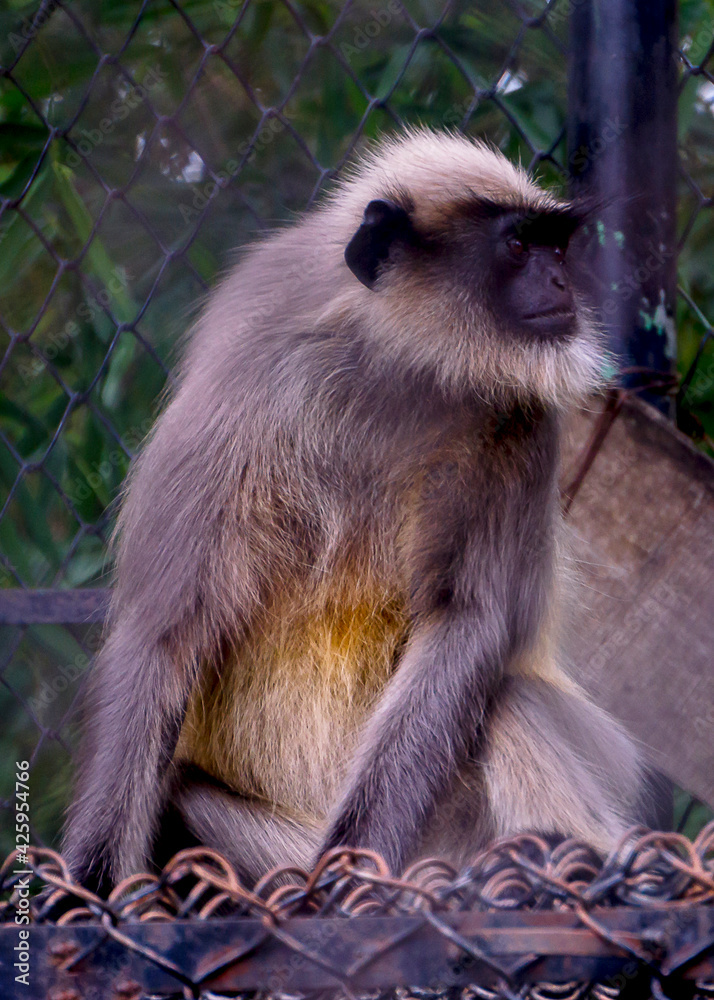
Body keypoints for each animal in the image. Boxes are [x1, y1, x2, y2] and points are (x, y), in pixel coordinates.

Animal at [62, 128, 661, 894]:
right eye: (518, 246)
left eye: (556, 250)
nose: (563, 286)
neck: (397, 366)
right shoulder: (246, 377)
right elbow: (162, 630)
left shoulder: (519, 421)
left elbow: (467, 621)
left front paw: (353, 869)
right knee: (179, 795)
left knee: (500, 694)